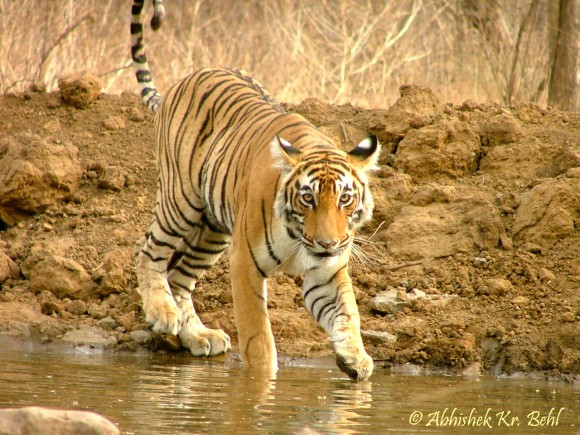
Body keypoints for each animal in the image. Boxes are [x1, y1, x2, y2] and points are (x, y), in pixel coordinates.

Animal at [129, 0, 378, 382]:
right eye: (308, 199)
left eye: (345, 199)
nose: (328, 244)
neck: (299, 238)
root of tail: (183, 80)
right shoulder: (244, 263)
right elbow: (258, 335)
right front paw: (263, 381)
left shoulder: (326, 272)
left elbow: (348, 312)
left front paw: (356, 358)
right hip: (180, 201)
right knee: (150, 252)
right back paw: (162, 312)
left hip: (213, 230)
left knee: (180, 276)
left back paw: (197, 335)